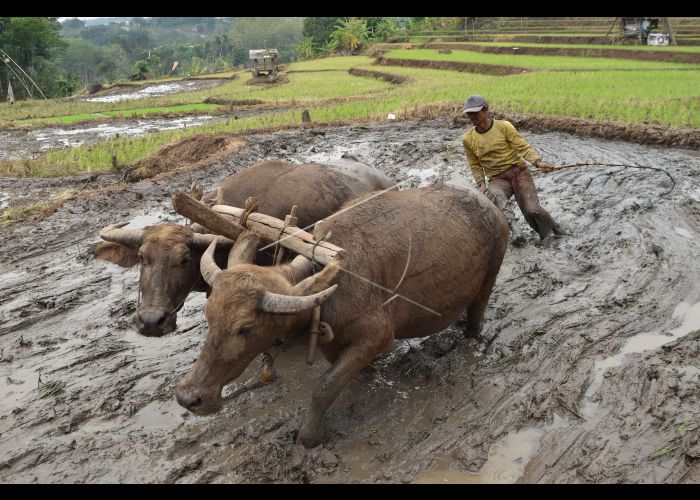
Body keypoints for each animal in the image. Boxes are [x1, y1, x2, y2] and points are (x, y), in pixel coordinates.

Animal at [175, 185, 508, 450]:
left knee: (476, 314)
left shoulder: (376, 338)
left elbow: (323, 388)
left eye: (246, 327)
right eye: (208, 315)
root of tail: (489, 205)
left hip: (488, 279)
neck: (329, 284)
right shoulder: (333, 344)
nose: (189, 397)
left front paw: (308, 437)